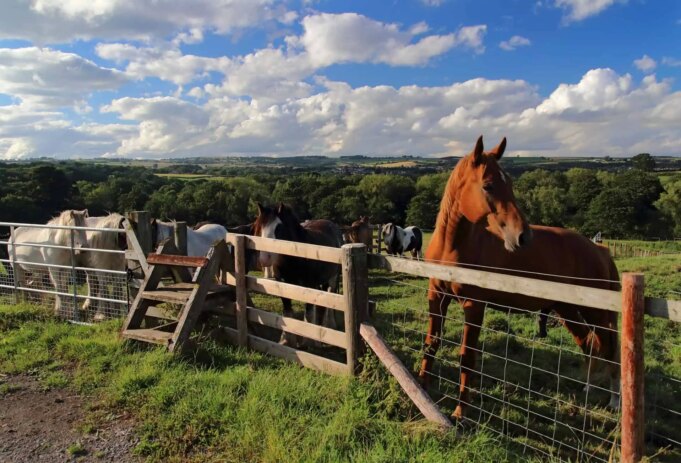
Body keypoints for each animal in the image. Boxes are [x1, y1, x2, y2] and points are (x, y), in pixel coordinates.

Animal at [254, 203, 342, 346]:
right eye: (259, 227)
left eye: (279, 228)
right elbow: (288, 313)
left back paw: (330, 325)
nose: (265, 258)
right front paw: (285, 340)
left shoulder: (309, 285)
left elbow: (309, 313)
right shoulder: (283, 286)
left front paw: (308, 341)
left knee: (328, 300)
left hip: (331, 279)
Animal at [420, 136, 620, 420]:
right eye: (488, 185)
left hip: (595, 312)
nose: (523, 236)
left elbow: (467, 356)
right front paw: (422, 390)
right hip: (567, 309)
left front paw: (460, 413)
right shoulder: (437, 296)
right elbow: (431, 344)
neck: (452, 247)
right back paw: (589, 390)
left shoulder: (474, 305)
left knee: (611, 349)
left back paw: (615, 400)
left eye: (511, 184)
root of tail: (599, 249)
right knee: (589, 344)